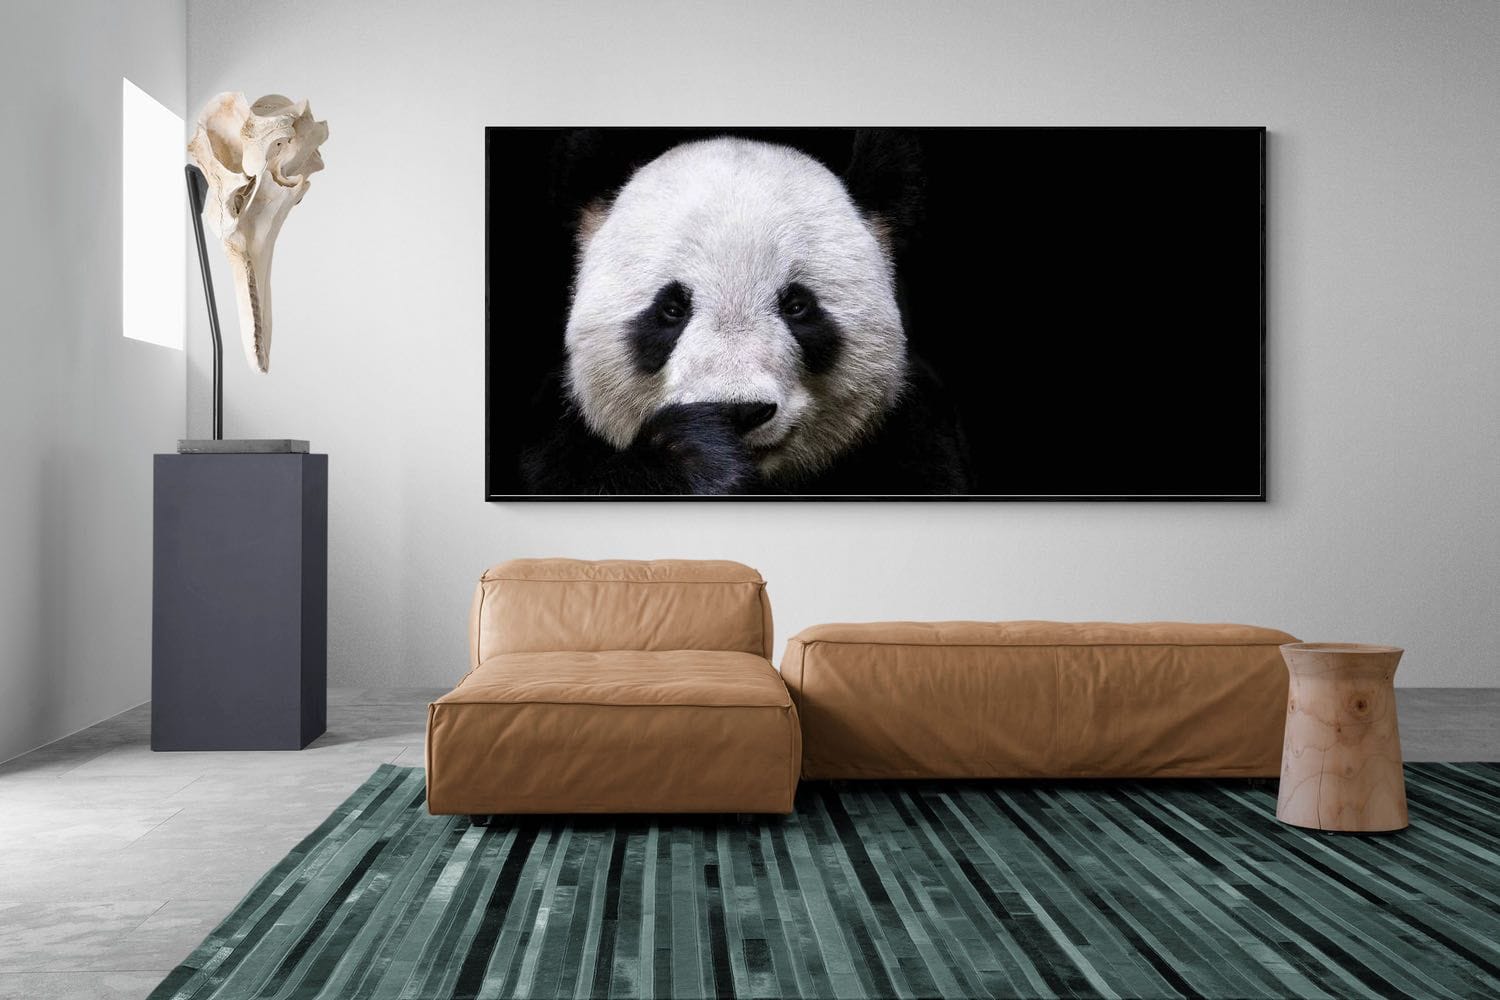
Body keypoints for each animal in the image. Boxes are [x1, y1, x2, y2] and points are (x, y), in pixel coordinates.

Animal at [519, 133, 971, 495]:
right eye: (671, 309)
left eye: (797, 306)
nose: (738, 411)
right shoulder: (562, 442)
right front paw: (697, 454)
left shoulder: (913, 442)